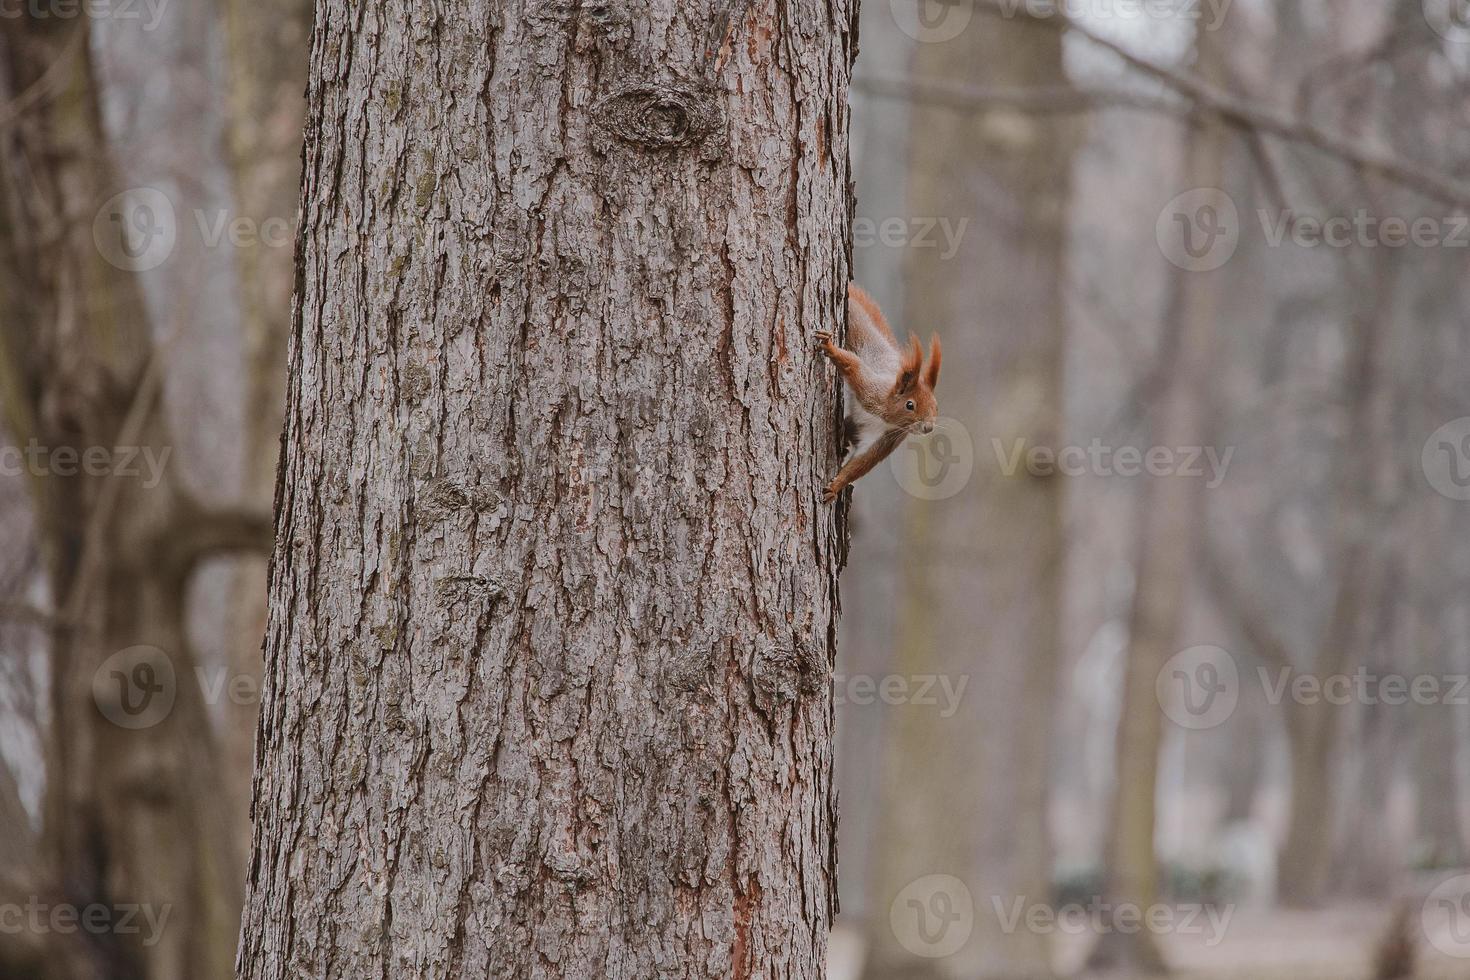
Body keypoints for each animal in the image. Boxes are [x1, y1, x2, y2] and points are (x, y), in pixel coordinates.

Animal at [817, 279, 940, 502]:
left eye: (936, 407)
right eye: (910, 405)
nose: (928, 428)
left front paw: (836, 486)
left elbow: (863, 462)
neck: (888, 419)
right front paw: (830, 347)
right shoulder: (873, 393)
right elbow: (854, 366)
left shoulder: (888, 438)